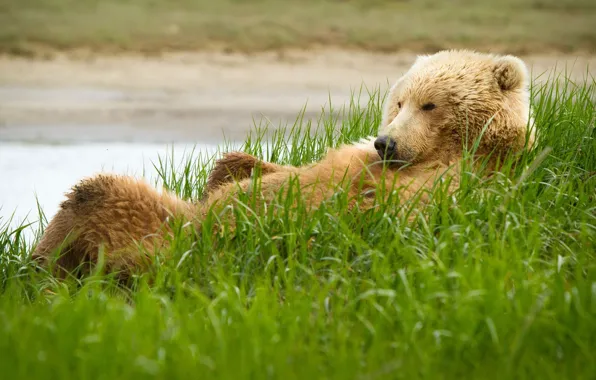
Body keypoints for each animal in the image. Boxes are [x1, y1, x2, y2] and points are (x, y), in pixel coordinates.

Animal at [31, 49, 536, 276]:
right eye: (399, 100)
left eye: (430, 104)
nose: (385, 143)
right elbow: (264, 169)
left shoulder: (445, 187)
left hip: (161, 240)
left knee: (98, 193)